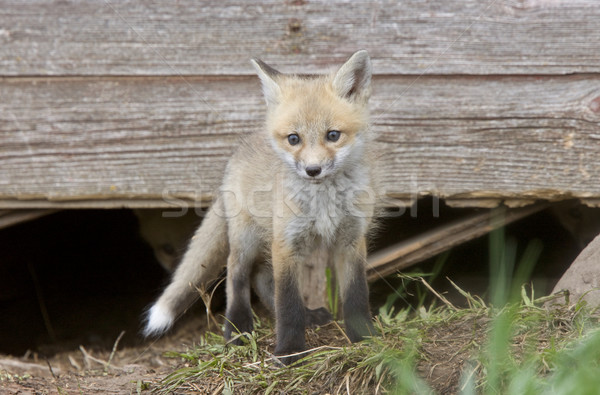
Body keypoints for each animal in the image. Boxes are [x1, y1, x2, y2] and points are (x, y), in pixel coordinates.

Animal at [144, 51, 378, 366]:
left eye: (333, 135)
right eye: (294, 139)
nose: (313, 170)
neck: (323, 200)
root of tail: (242, 147)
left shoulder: (350, 240)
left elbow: (356, 295)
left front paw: (364, 338)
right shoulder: (287, 242)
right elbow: (287, 304)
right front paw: (289, 351)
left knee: (261, 278)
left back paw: (308, 316)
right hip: (248, 237)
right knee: (238, 274)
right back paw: (237, 328)